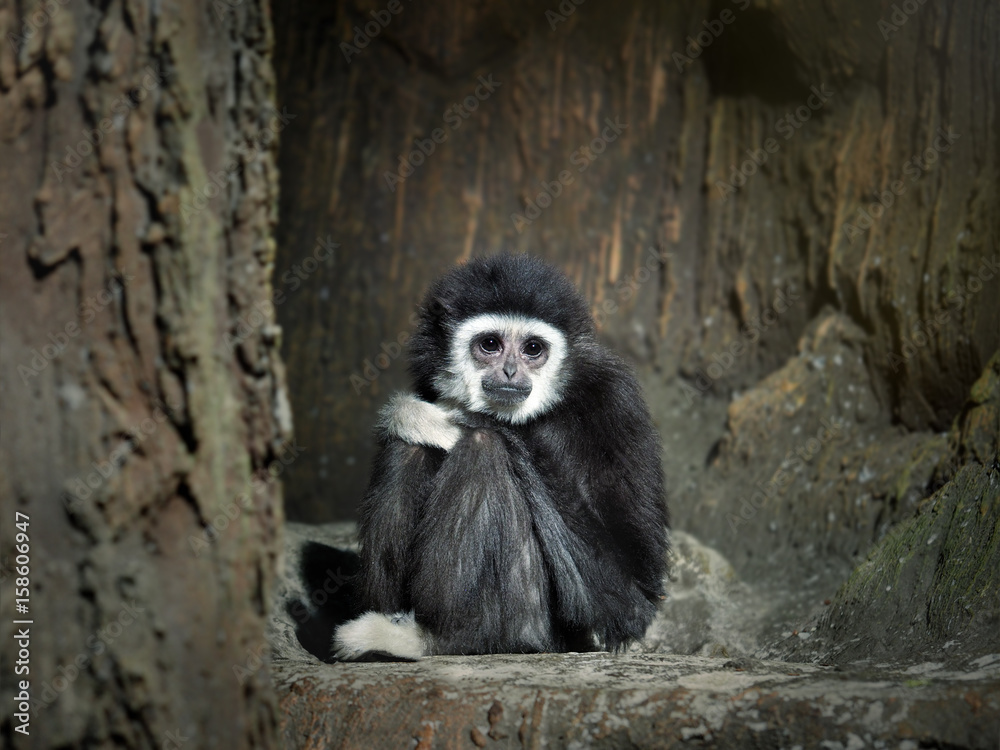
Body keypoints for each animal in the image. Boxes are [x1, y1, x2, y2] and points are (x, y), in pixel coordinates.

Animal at [333, 254, 668, 659]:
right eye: (490, 344)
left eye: (533, 349)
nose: (510, 370)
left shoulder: (617, 402)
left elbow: (631, 597)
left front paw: (435, 414)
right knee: (408, 447)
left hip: (531, 626)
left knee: (484, 446)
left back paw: (444, 638)